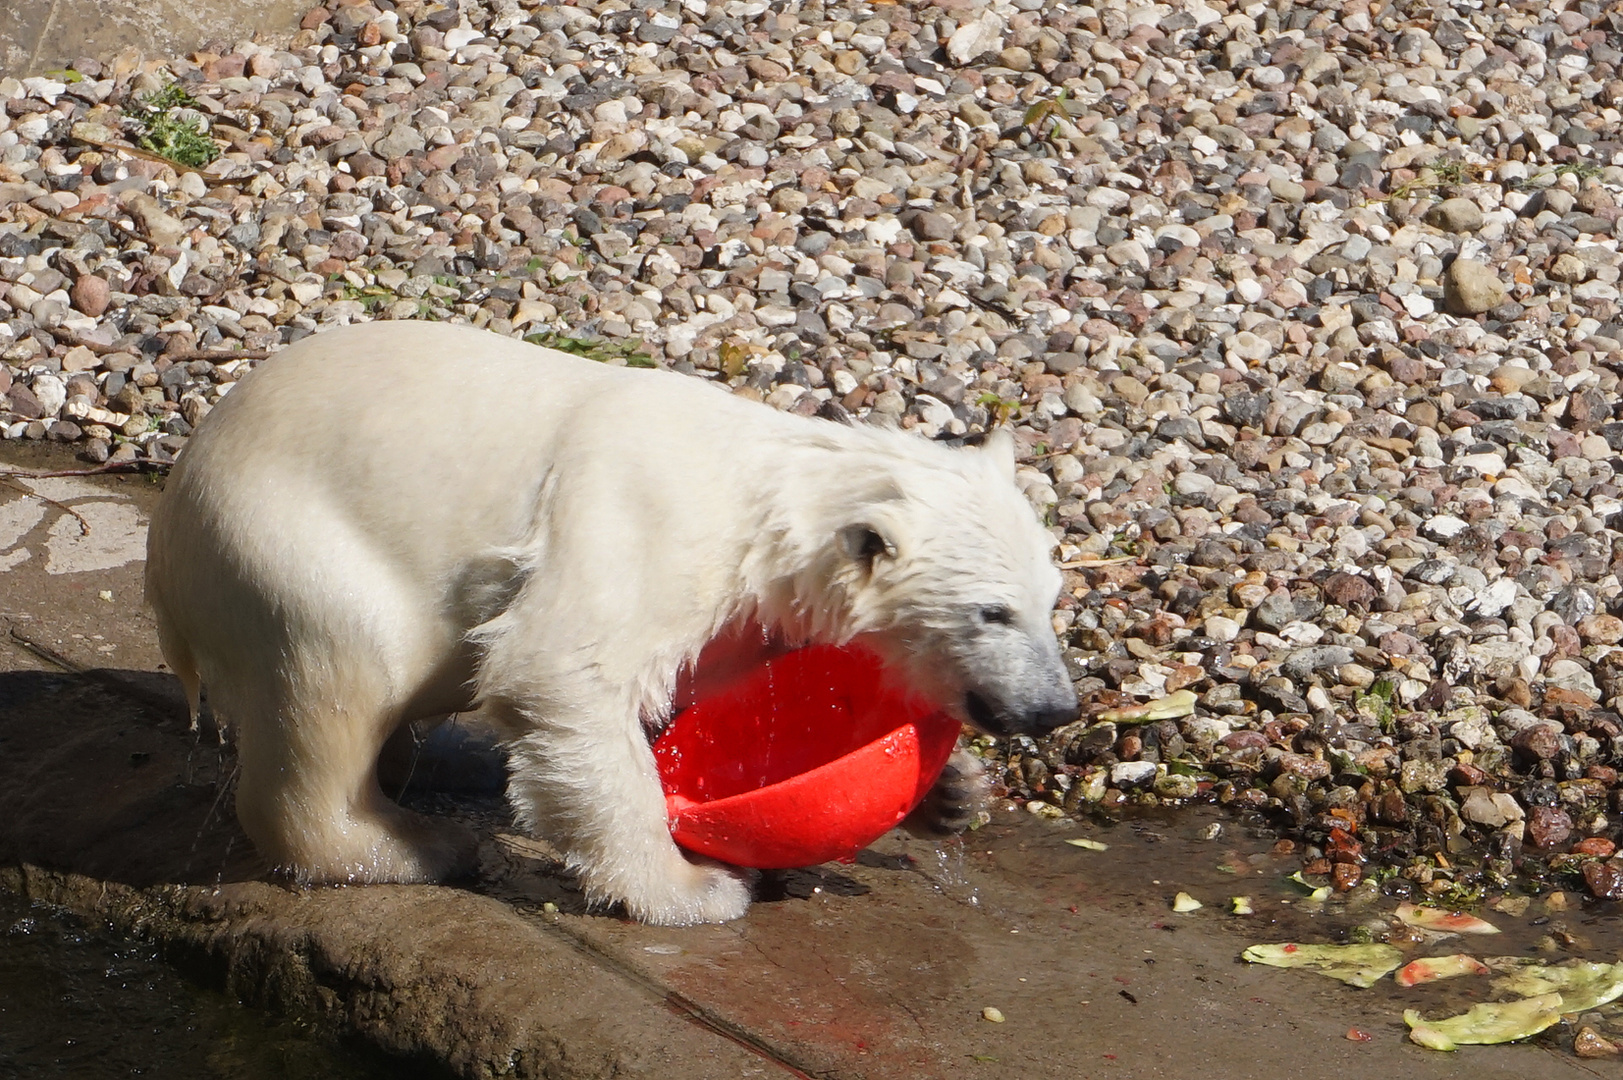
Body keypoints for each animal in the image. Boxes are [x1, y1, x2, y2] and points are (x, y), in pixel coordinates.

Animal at [149, 316, 1077, 922]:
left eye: (1051, 600)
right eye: (991, 611)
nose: (1054, 707)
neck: (763, 508)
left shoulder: (733, 619)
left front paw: (951, 794)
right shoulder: (642, 529)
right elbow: (563, 674)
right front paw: (694, 890)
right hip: (282, 544)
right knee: (342, 679)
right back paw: (411, 846)